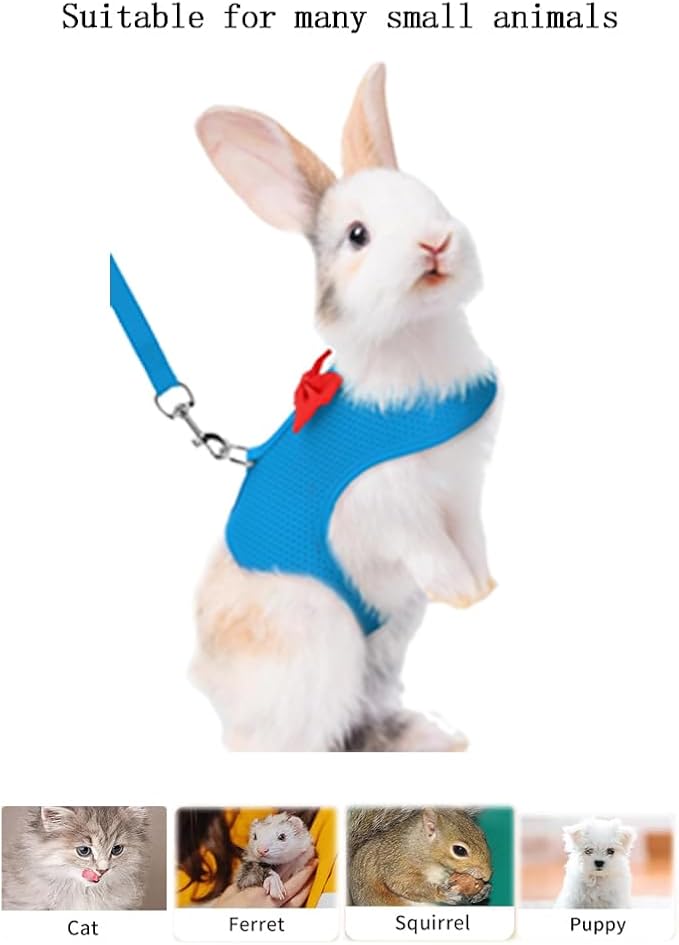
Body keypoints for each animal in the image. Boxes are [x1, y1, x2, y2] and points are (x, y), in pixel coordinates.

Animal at [191, 63, 501, 752]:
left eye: (427, 196)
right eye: (357, 236)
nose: (435, 242)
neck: (413, 337)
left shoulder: (460, 491)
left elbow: (470, 538)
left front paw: (483, 587)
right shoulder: (393, 506)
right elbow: (431, 548)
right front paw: (462, 592)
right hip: (323, 642)